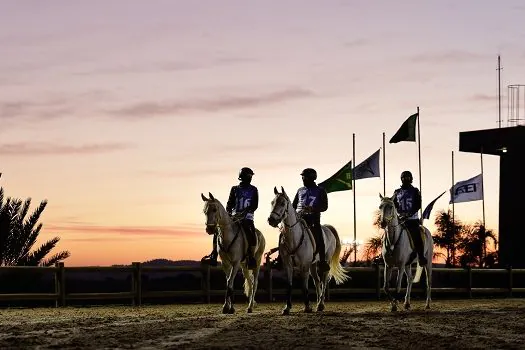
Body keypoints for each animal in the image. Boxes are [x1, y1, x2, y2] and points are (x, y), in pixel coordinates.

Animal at [266, 187, 348, 316]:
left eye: (282, 203)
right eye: (272, 202)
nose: (271, 220)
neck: (293, 237)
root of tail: (328, 228)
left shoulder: (304, 265)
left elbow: (304, 286)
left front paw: (307, 306)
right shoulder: (288, 265)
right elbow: (289, 285)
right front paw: (287, 308)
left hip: (325, 262)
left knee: (324, 280)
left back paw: (320, 304)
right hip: (313, 265)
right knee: (317, 281)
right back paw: (318, 303)